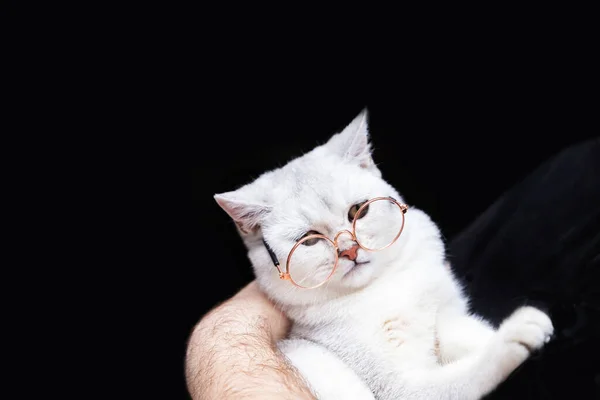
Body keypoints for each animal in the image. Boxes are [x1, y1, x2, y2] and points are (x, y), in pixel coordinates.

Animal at [214, 108, 552, 398]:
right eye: (309, 241)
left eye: (357, 211)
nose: (349, 249)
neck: (386, 286)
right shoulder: (399, 387)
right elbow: (459, 378)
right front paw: (515, 334)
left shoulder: (445, 314)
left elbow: (463, 333)